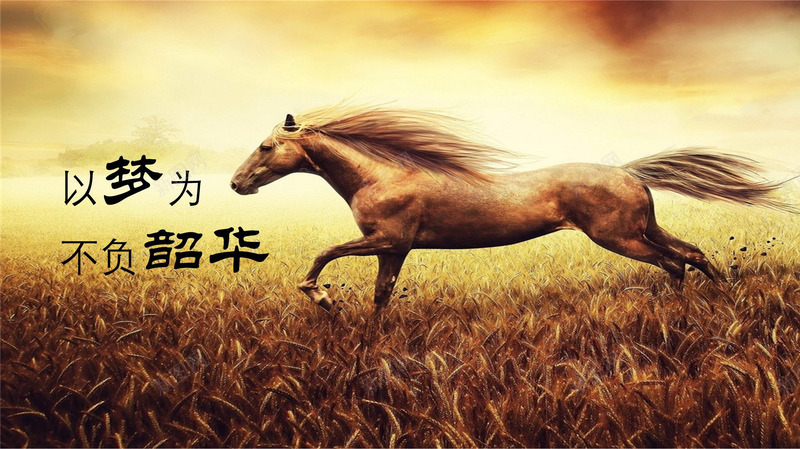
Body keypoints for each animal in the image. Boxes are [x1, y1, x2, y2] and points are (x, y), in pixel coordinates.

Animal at [231, 104, 796, 310]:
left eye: (265, 146)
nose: (237, 184)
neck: (382, 175)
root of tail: (630, 173)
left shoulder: (387, 239)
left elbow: (324, 254)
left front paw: (321, 297)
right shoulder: (394, 248)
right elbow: (381, 296)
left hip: (619, 237)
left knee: (674, 262)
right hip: (641, 228)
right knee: (691, 253)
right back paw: (718, 301)